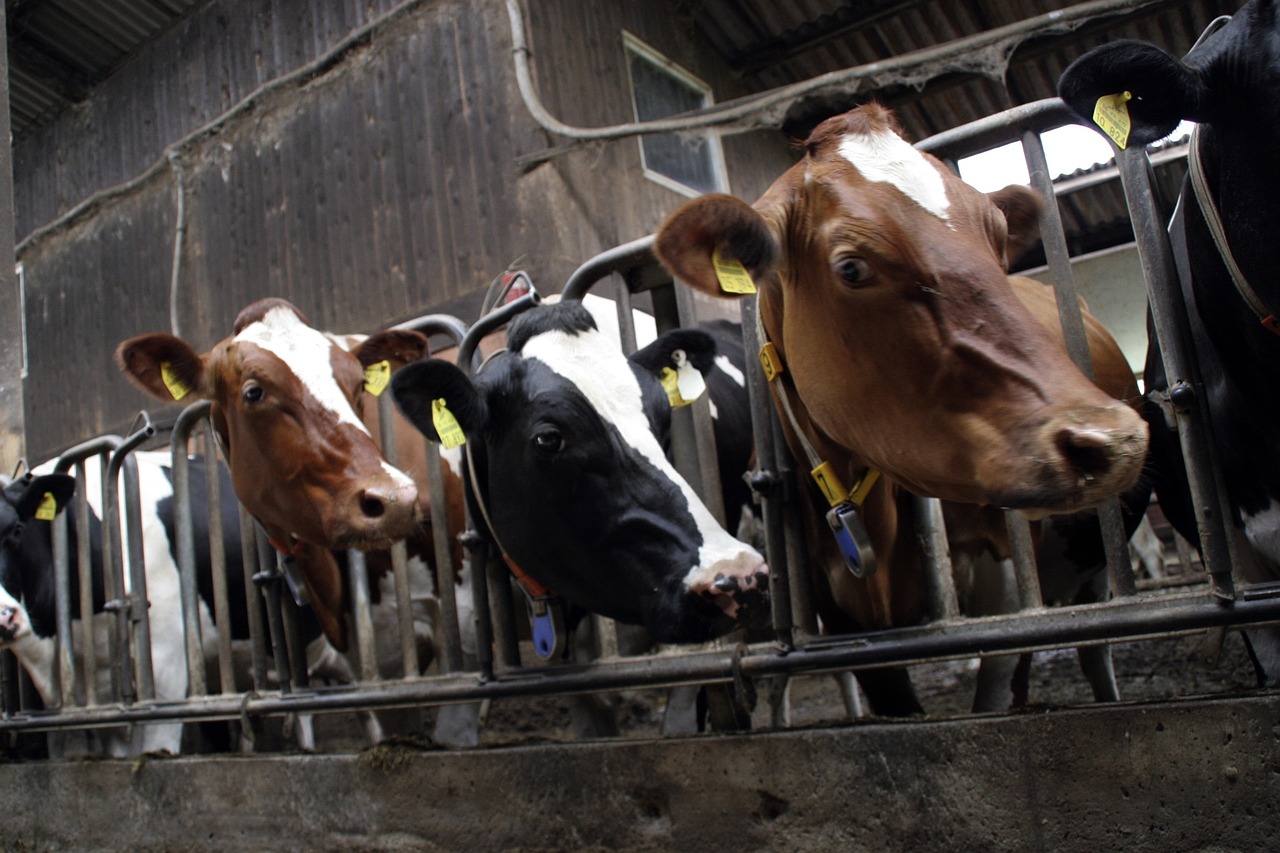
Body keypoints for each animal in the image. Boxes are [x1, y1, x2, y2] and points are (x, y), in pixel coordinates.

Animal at [650, 99, 1152, 712]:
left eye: (997, 241)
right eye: (851, 267)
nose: (1108, 438)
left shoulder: (1012, 586)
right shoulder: (842, 622)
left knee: (1094, 651)